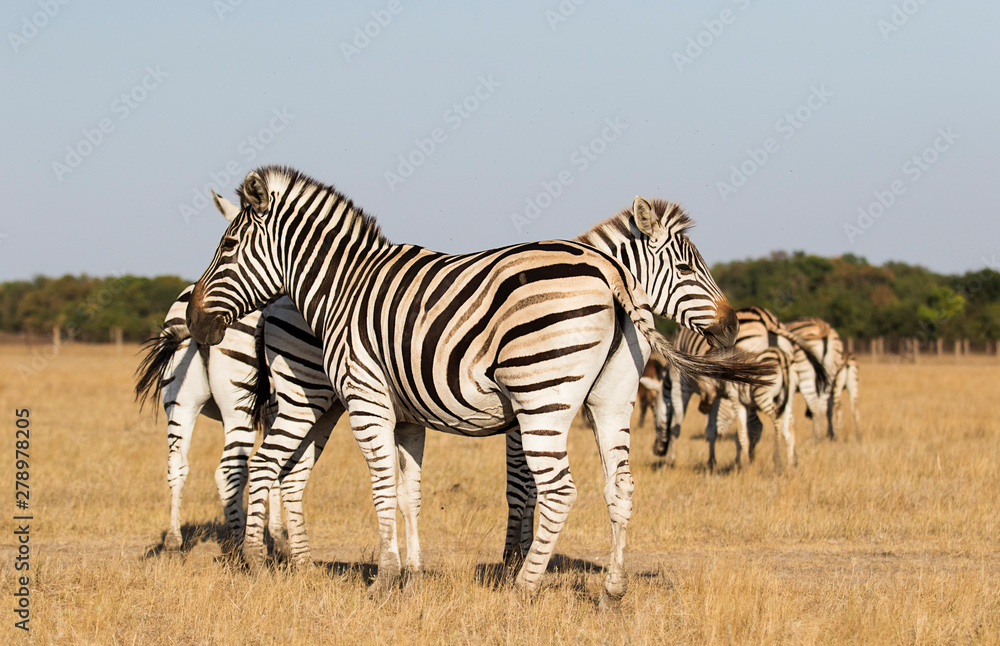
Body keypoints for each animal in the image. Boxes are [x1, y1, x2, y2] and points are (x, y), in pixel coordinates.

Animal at [186, 165, 773, 599]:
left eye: (228, 245)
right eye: (686, 268)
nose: (195, 322)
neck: (343, 285)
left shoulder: (374, 398)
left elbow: (401, 487)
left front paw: (395, 577)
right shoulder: (407, 410)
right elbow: (412, 490)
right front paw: (413, 575)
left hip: (343, 400)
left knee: (274, 467)